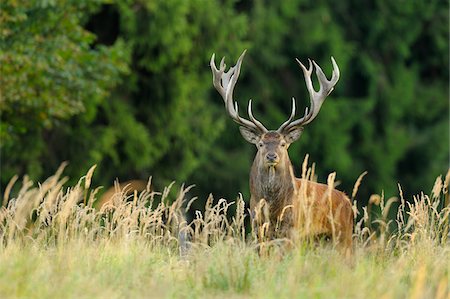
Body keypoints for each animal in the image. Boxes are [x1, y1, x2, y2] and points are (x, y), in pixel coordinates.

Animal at [209, 50, 354, 254]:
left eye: (284, 144)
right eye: (261, 144)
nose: (272, 156)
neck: (272, 210)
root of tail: (349, 203)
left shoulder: (292, 230)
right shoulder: (257, 226)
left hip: (344, 236)